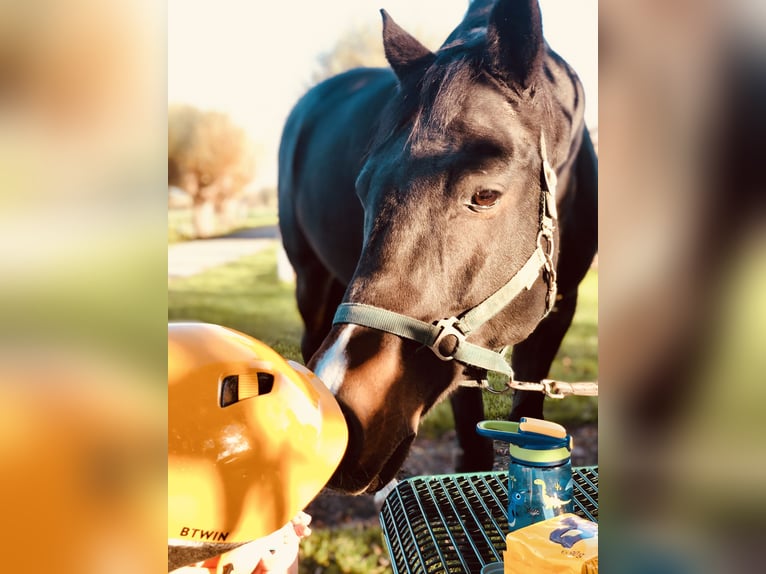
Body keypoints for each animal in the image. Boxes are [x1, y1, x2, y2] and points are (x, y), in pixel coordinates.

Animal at [280, 0, 596, 496]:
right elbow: (473, 452)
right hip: (310, 279)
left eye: (485, 195)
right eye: (362, 188)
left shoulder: (559, 309)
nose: (343, 413)